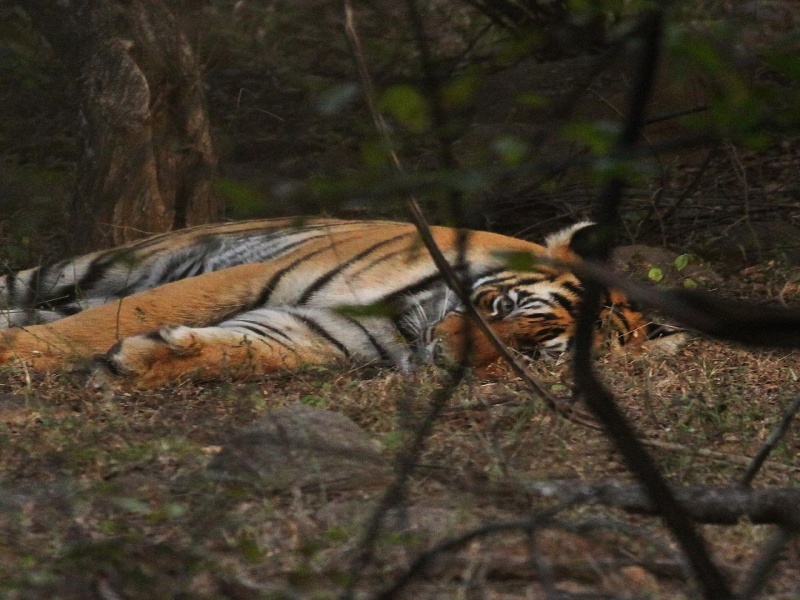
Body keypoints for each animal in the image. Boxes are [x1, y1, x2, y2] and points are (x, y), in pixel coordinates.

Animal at [0, 218, 664, 386]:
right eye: (502, 309)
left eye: (534, 358)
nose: (446, 359)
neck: (413, 321)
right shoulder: (245, 279)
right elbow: (125, 316)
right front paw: (16, 355)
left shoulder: (319, 332)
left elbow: (246, 350)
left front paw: (140, 363)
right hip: (92, 266)